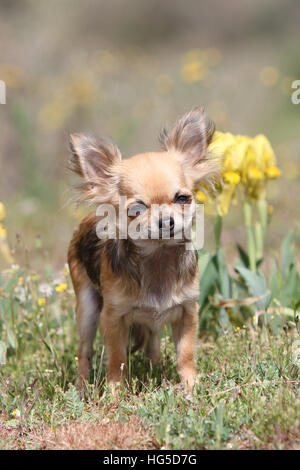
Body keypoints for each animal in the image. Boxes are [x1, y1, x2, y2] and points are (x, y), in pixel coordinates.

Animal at [67, 106, 218, 390]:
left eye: (183, 198)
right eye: (136, 209)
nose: (166, 221)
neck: (158, 258)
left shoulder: (188, 312)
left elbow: (186, 353)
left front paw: (191, 386)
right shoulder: (113, 317)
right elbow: (117, 359)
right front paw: (115, 391)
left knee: (153, 339)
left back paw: (155, 365)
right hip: (87, 307)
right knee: (84, 349)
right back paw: (81, 387)